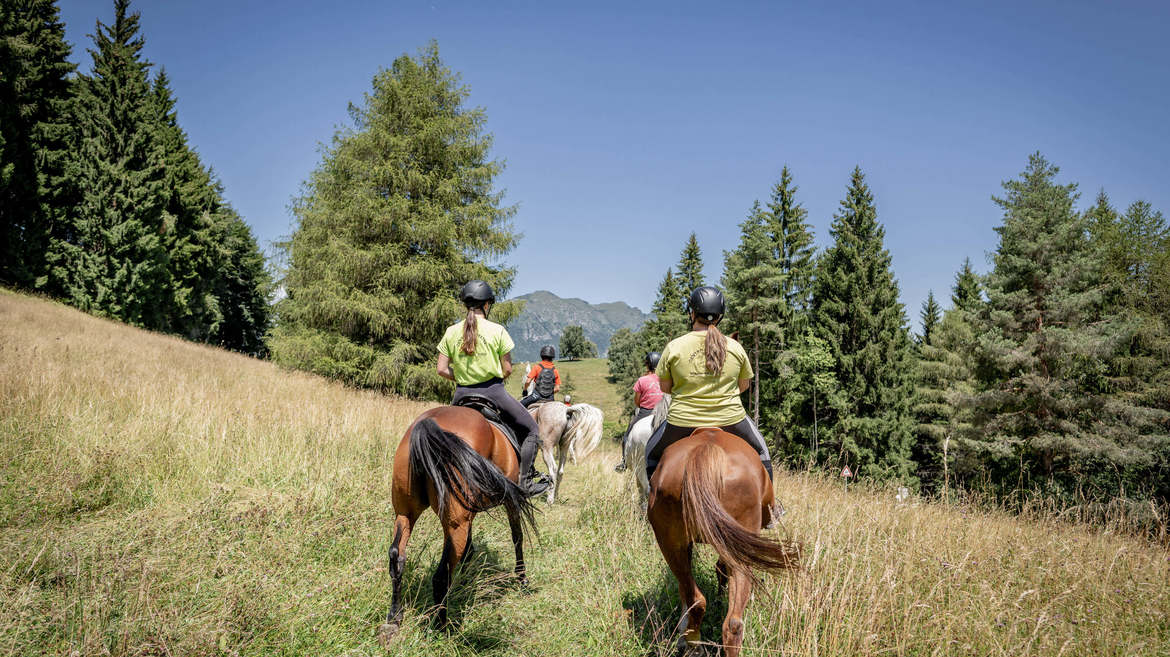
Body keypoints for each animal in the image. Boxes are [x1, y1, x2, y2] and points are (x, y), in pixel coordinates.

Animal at [379, 402, 535, 640]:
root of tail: (428, 424)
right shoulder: (511, 502)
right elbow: (517, 537)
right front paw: (521, 578)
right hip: (455, 524)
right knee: (441, 576)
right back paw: (443, 629)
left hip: (405, 513)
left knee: (397, 556)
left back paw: (394, 618)